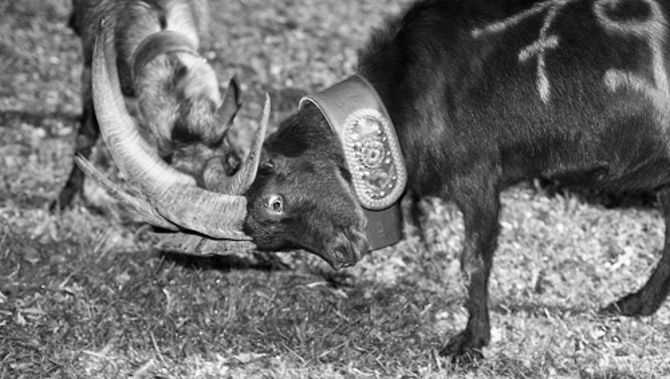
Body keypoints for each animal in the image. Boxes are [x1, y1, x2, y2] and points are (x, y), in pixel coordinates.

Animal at [244, 0, 670, 364]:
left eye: (275, 202)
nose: (341, 256)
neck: (404, 93)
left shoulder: (477, 176)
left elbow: (473, 262)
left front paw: (470, 342)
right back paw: (636, 304)